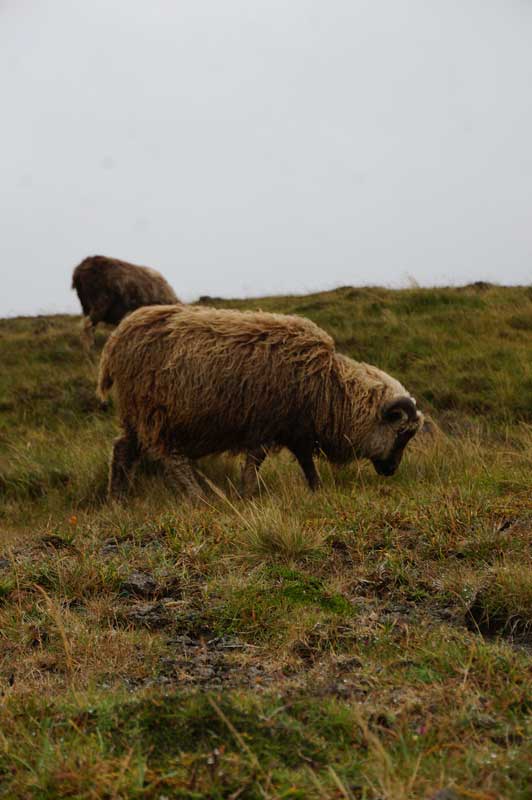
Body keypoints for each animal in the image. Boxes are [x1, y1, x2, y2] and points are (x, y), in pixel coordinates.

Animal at [97, 305, 423, 499]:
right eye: (401, 434)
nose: (392, 471)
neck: (330, 389)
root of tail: (116, 339)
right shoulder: (268, 425)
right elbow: (255, 463)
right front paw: (248, 493)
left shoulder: (295, 430)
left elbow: (306, 463)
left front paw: (317, 490)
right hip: (157, 412)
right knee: (171, 458)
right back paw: (198, 498)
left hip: (136, 414)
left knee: (123, 449)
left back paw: (117, 500)